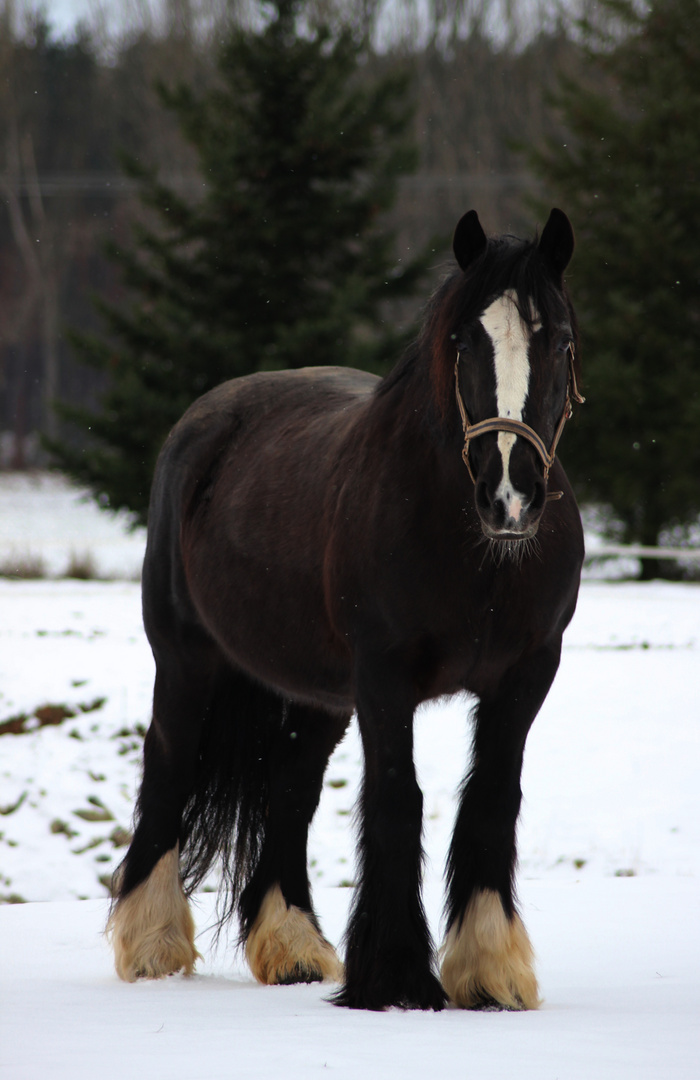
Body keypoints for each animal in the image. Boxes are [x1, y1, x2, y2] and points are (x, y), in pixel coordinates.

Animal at [106, 210, 583, 1010]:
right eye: (463, 342)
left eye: (561, 341)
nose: (510, 495)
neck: (476, 554)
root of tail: (205, 420)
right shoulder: (384, 678)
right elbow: (397, 798)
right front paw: (397, 976)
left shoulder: (524, 677)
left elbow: (490, 800)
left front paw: (490, 971)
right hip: (186, 662)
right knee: (167, 766)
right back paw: (150, 945)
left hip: (317, 695)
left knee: (290, 787)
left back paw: (293, 947)